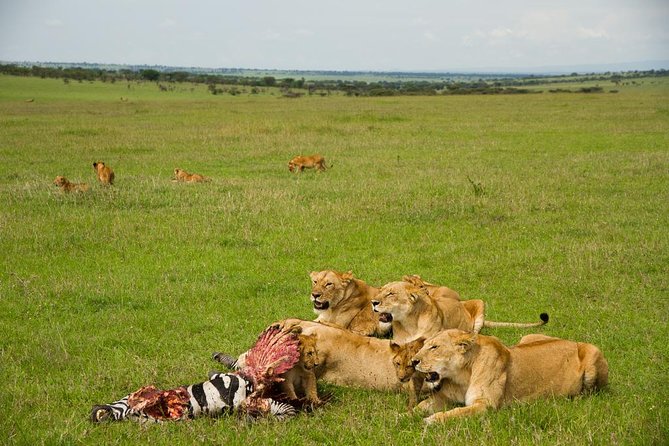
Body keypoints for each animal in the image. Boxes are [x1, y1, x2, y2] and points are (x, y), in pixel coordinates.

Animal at [412, 329, 609, 424]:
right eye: (425, 344)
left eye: (434, 347)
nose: (413, 361)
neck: (462, 376)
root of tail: (572, 341)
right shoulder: (443, 397)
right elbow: (419, 407)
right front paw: (405, 417)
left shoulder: (485, 405)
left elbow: (457, 412)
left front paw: (431, 420)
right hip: (528, 336)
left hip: (593, 352)